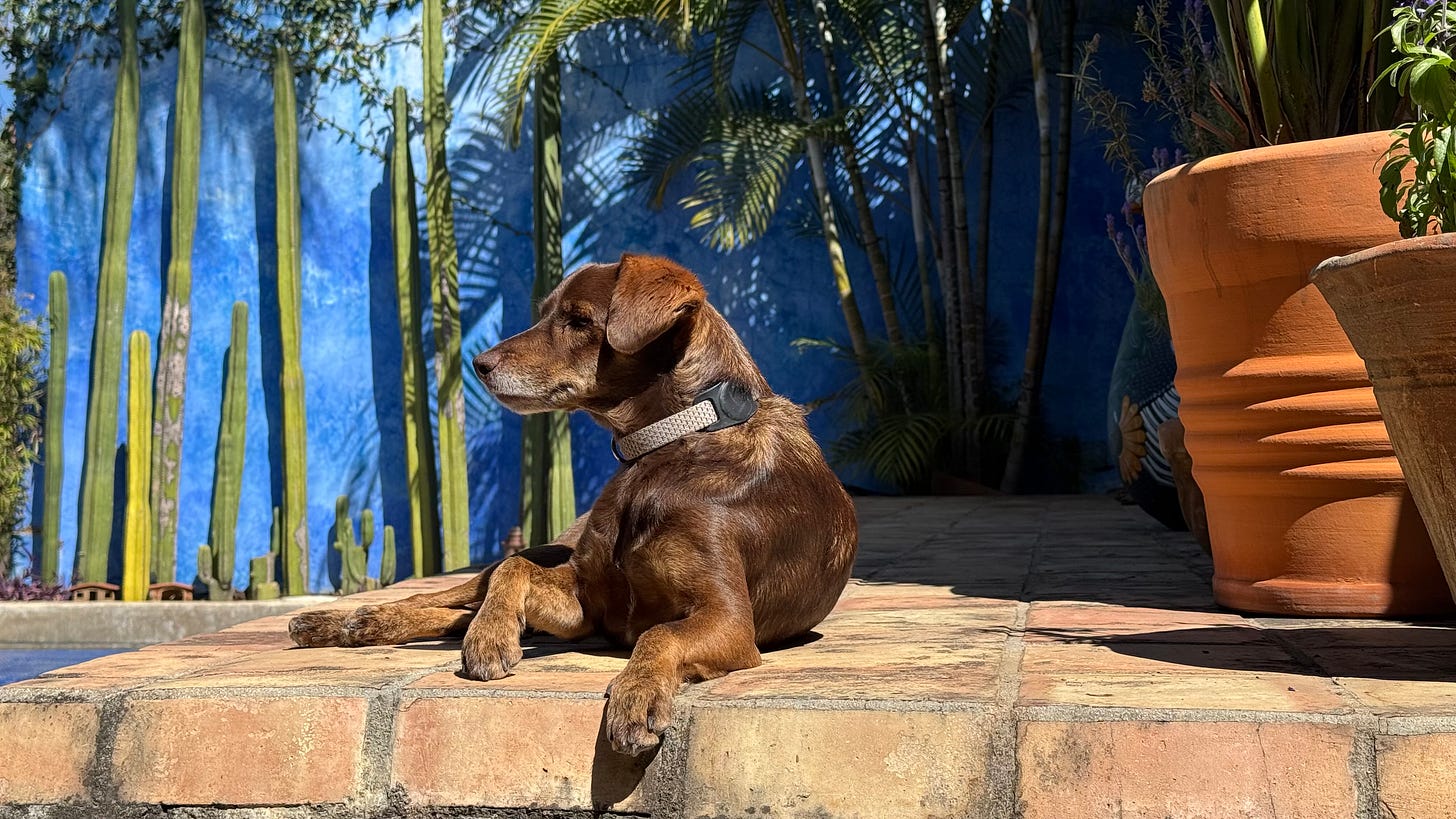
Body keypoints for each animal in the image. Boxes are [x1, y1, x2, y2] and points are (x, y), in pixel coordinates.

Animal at [288, 252, 856, 751]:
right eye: (544, 314)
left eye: (579, 320)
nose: (479, 364)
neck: (675, 437)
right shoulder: (586, 600)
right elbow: (510, 573)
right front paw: (492, 636)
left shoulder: (727, 620)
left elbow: (659, 636)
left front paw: (636, 695)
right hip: (547, 547)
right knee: (456, 592)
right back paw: (345, 621)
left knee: (458, 610)